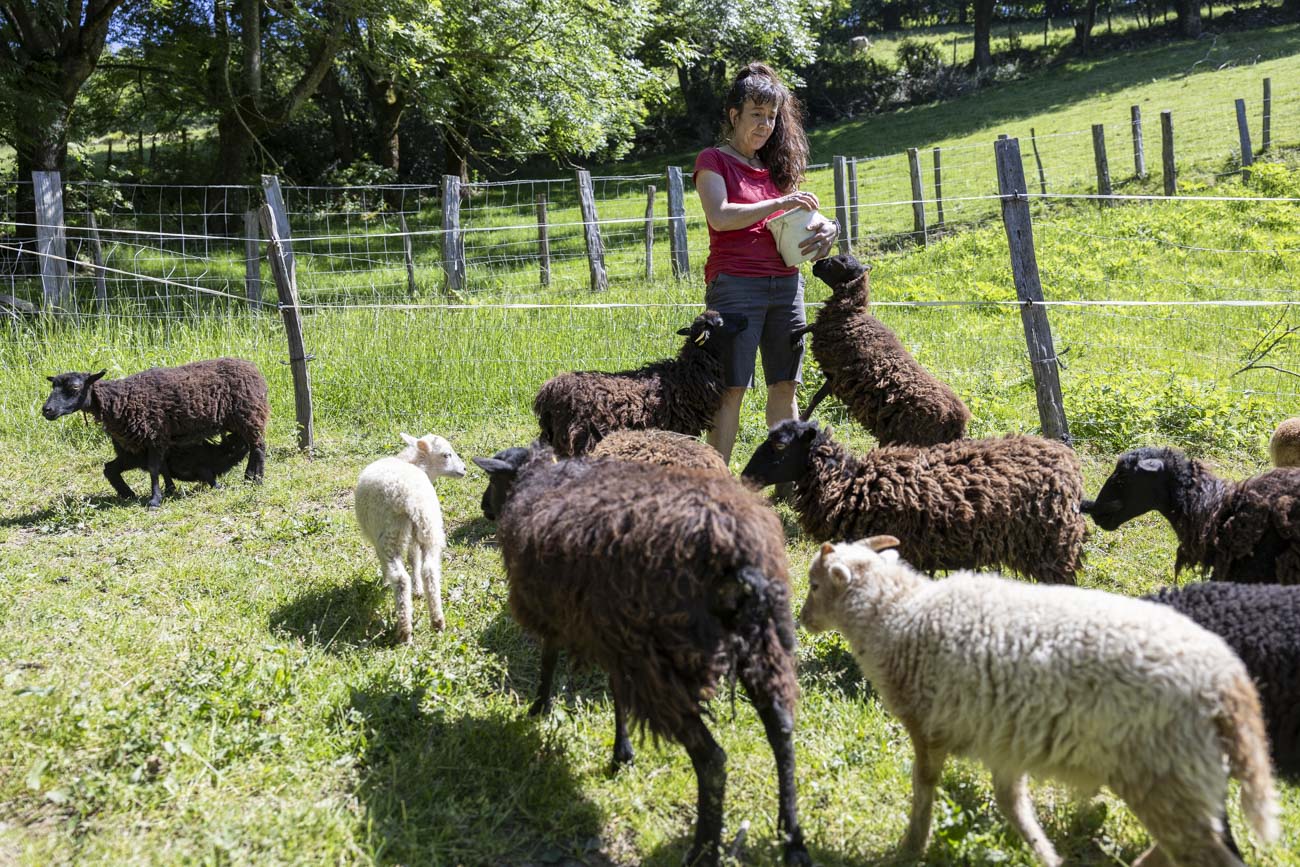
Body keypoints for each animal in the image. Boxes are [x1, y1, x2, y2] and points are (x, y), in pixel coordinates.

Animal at [41, 358, 269, 508]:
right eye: (53, 387)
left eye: (74, 387)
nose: (46, 410)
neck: (120, 399)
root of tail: (251, 366)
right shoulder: (156, 440)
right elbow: (162, 468)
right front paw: (168, 490)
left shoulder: (154, 435)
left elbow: (153, 469)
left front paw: (155, 500)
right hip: (240, 421)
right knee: (252, 445)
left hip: (249, 415)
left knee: (258, 447)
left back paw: (256, 479)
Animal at [355, 433, 466, 644]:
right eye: (446, 454)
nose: (464, 469)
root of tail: (409, 498)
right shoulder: (417, 533)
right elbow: (414, 559)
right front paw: (418, 589)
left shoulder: (377, 540)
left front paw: (385, 583)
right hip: (429, 526)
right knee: (430, 570)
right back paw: (437, 621)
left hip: (390, 535)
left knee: (400, 578)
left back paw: (404, 630)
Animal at [472, 444, 810, 867]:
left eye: (493, 479)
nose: (484, 507)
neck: (536, 482)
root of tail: (734, 554)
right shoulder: (615, 637)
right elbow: (617, 695)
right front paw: (623, 754)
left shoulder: (556, 614)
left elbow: (548, 660)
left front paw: (537, 710)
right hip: (764, 642)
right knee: (782, 731)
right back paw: (791, 837)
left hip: (666, 662)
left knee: (713, 761)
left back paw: (703, 850)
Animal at [794, 253, 969, 446]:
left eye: (841, 261)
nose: (816, 265)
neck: (851, 314)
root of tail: (957, 426)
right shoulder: (835, 376)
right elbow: (817, 397)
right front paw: (802, 419)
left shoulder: (828, 349)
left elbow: (809, 327)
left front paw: (793, 335)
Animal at [801, 535, 1281, 866]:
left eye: (814, 584)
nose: (802, 619)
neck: (898, 615)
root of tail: (1228, 680)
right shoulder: (1003, 738)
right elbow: (1011, 803)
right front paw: (1046, 855)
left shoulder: (927, 726)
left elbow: (924, 789)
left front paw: (911, 847)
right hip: (1179, 783)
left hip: (1162, 776)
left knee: (1205, 854)